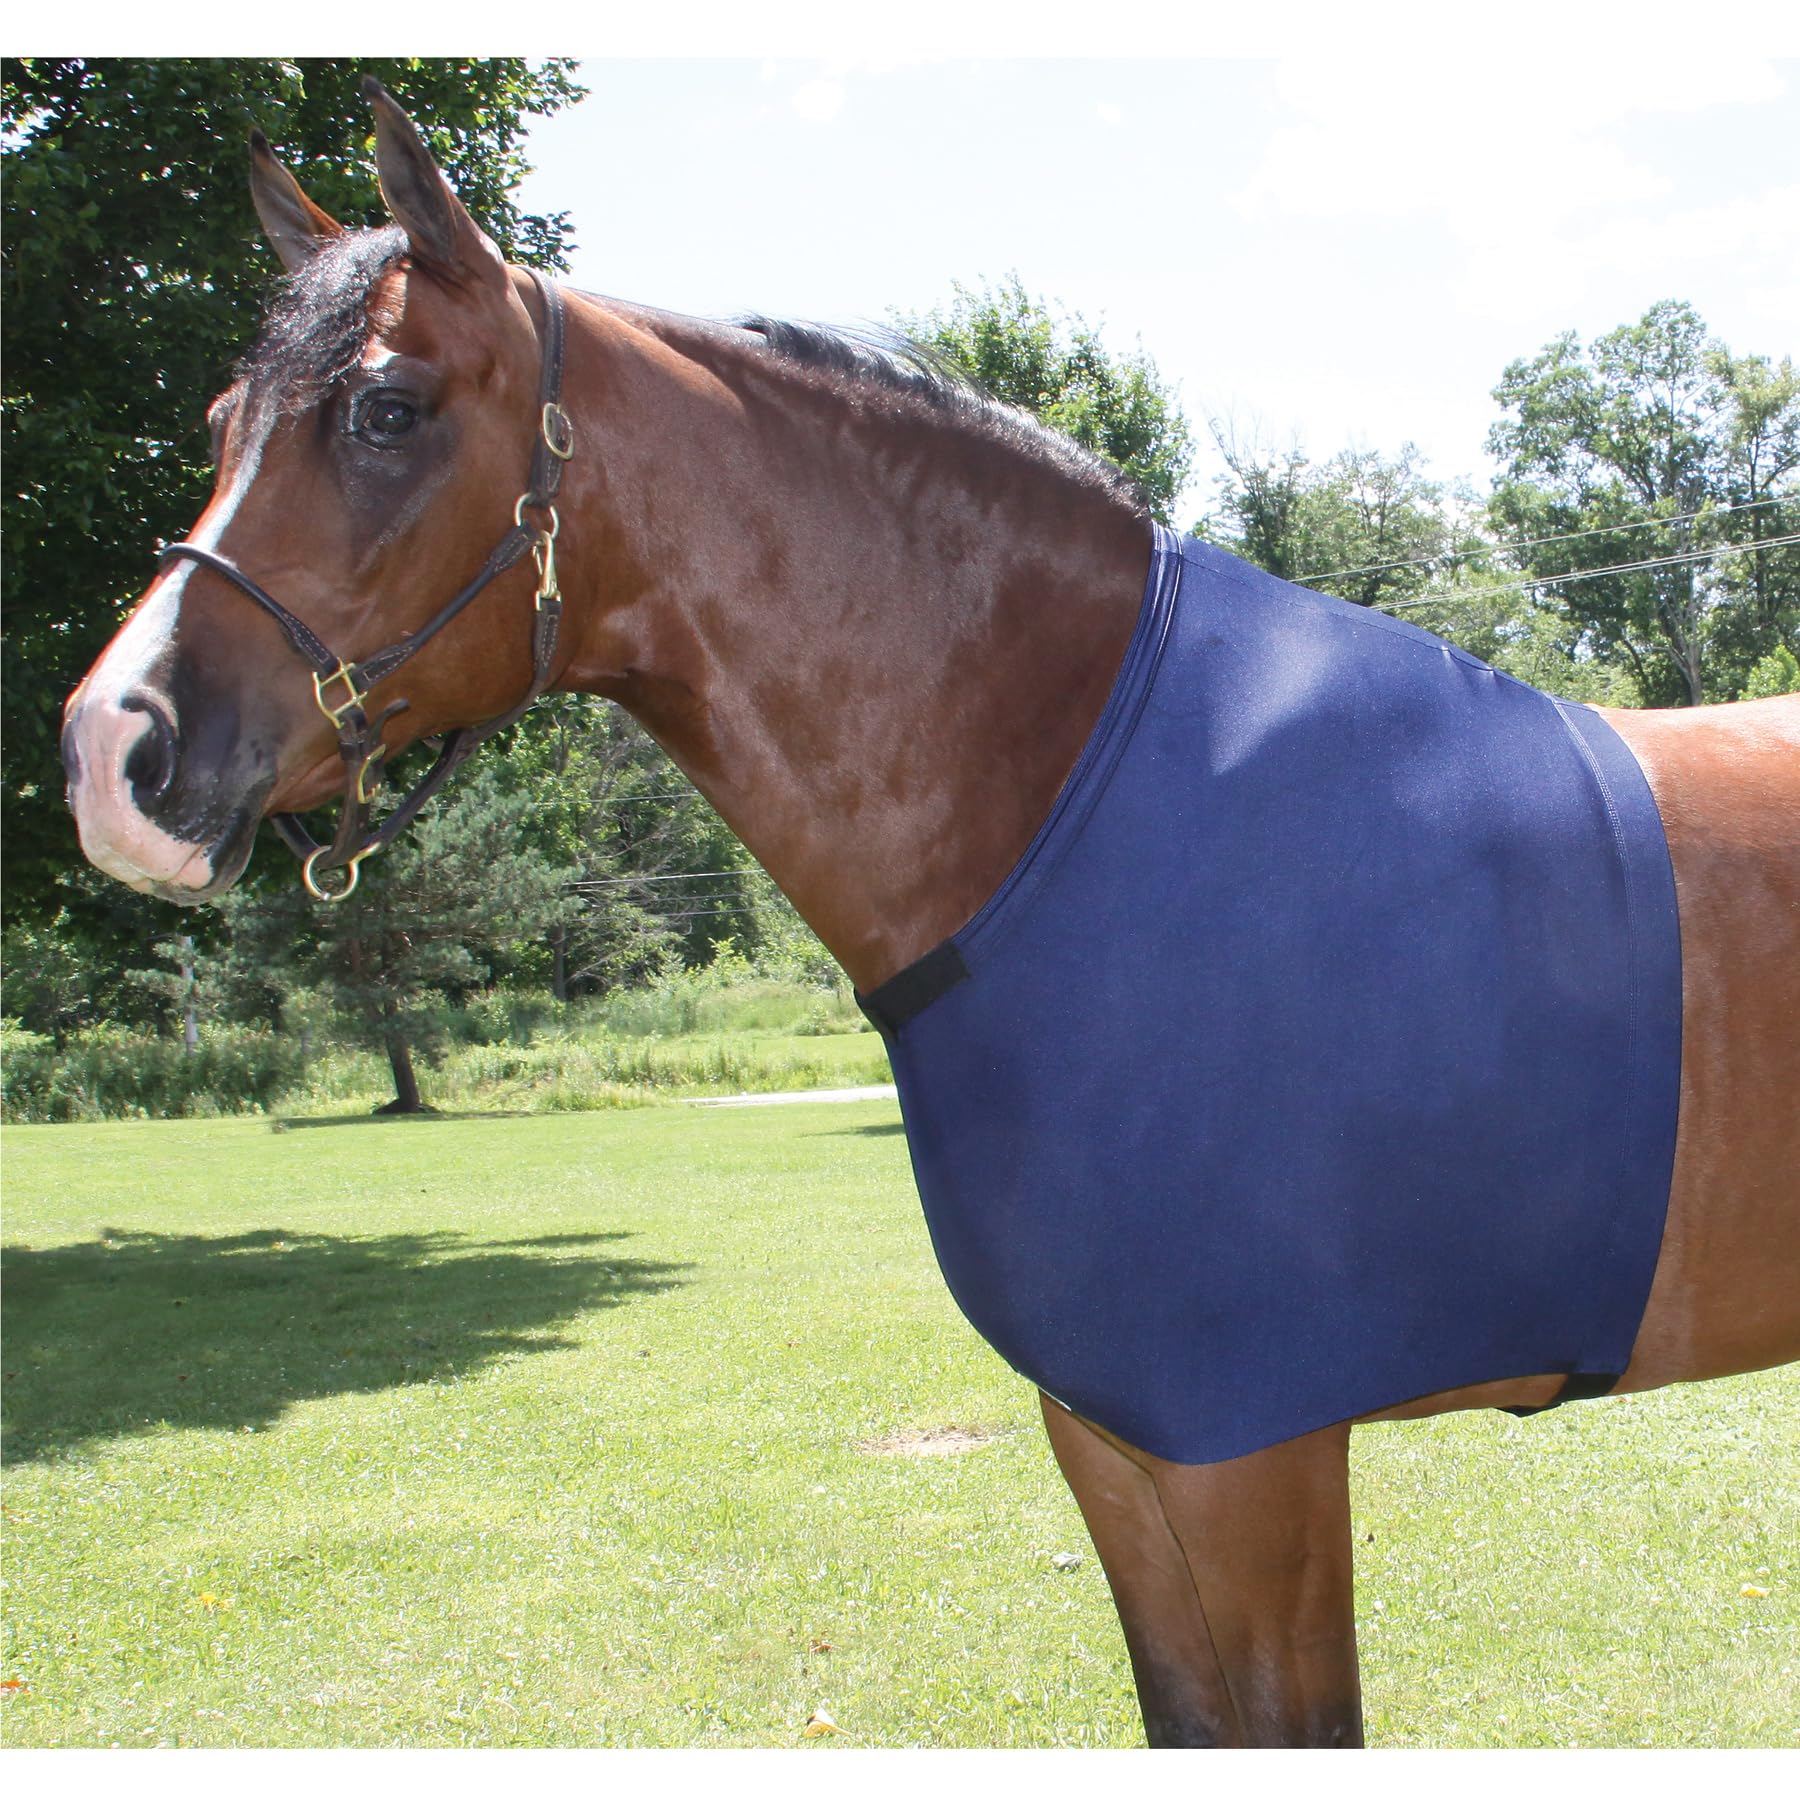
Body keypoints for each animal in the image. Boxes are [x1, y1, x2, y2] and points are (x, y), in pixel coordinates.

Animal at [60, 82, 1800, 1747]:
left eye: (386, 409)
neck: (1072, 803)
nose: (110, 751)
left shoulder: (1253, 1458)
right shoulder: (1118, 1445)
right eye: (220, 424)